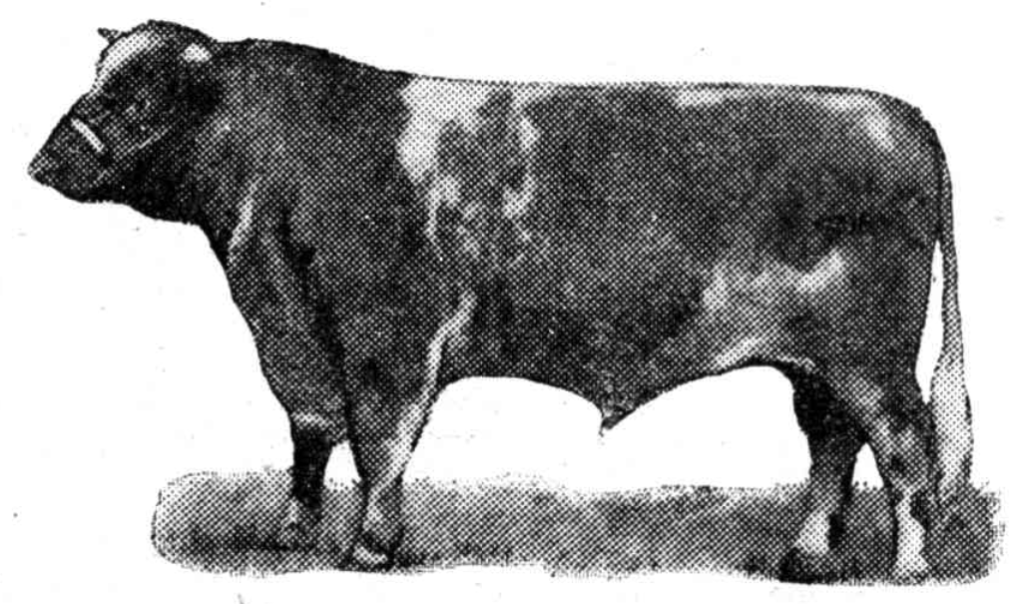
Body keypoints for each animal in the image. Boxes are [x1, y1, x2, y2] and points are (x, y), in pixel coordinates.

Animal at [28, 21, 972, 582]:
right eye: (98, 78)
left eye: (136, 96)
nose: (41, 162)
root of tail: (903, 119)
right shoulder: (297, 344)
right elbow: (309, 440)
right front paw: (293, 534)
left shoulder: (389, 342)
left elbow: (379, 446)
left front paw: (369, 549)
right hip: (818, 366)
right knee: (832, 447)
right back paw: (805, 558)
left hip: (873, 361)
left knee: (908, 450)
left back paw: (909, 568)